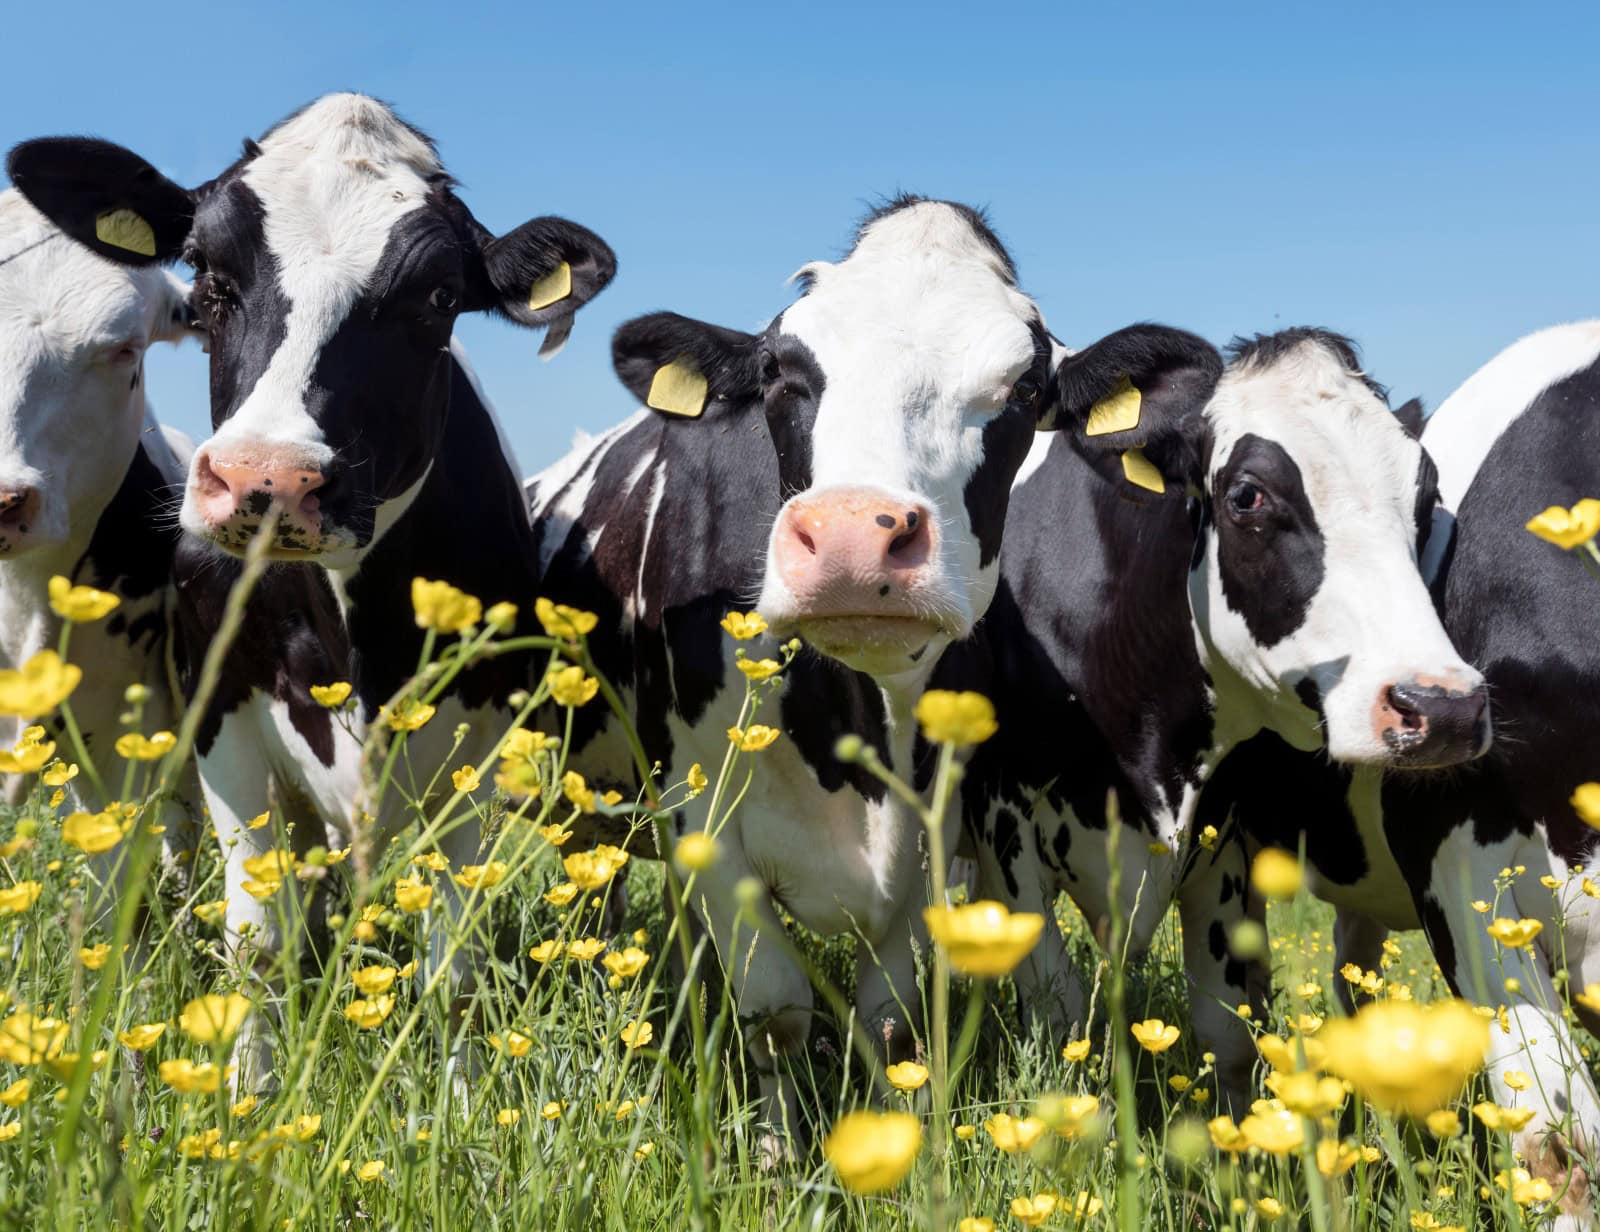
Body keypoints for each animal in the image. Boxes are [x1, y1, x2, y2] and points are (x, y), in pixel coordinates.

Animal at [528, 194, 1223, 1137]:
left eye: (1025, 389)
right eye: (780, 370)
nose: (855, 538)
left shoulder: (934, 831)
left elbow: (887, 1018)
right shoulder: (702, 809)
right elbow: (776, 1010)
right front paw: (776, 1150)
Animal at [929, 328, 1493, 1103]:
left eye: (1425, 495)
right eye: (1248, 495)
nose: (1442, 707)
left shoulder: (1219, 836)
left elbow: (1225, 1035)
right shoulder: (1004, 825)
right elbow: (1058, 1012)